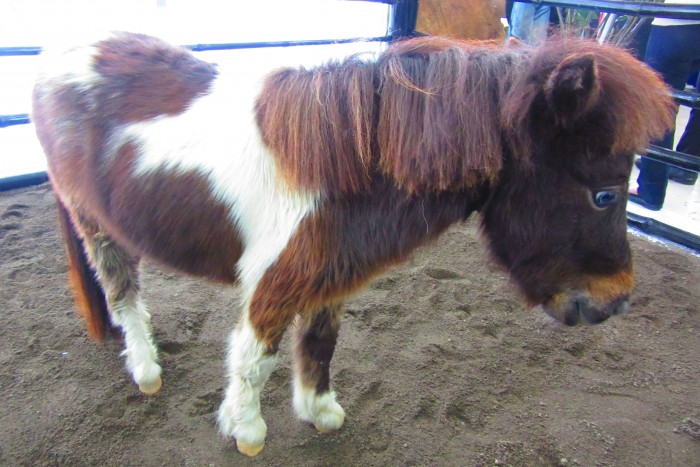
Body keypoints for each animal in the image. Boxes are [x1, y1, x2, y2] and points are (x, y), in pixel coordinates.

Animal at [31, 32, 674, 456]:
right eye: (605, 194)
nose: (614, 302)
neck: (345, 167)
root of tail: (60, 53)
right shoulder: (274, 282)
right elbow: (254, 357)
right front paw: (247, 431)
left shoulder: (328, 274)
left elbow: (320, 343)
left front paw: (319, 411)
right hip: (94, 222)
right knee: (122, 291)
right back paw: (145, 368)